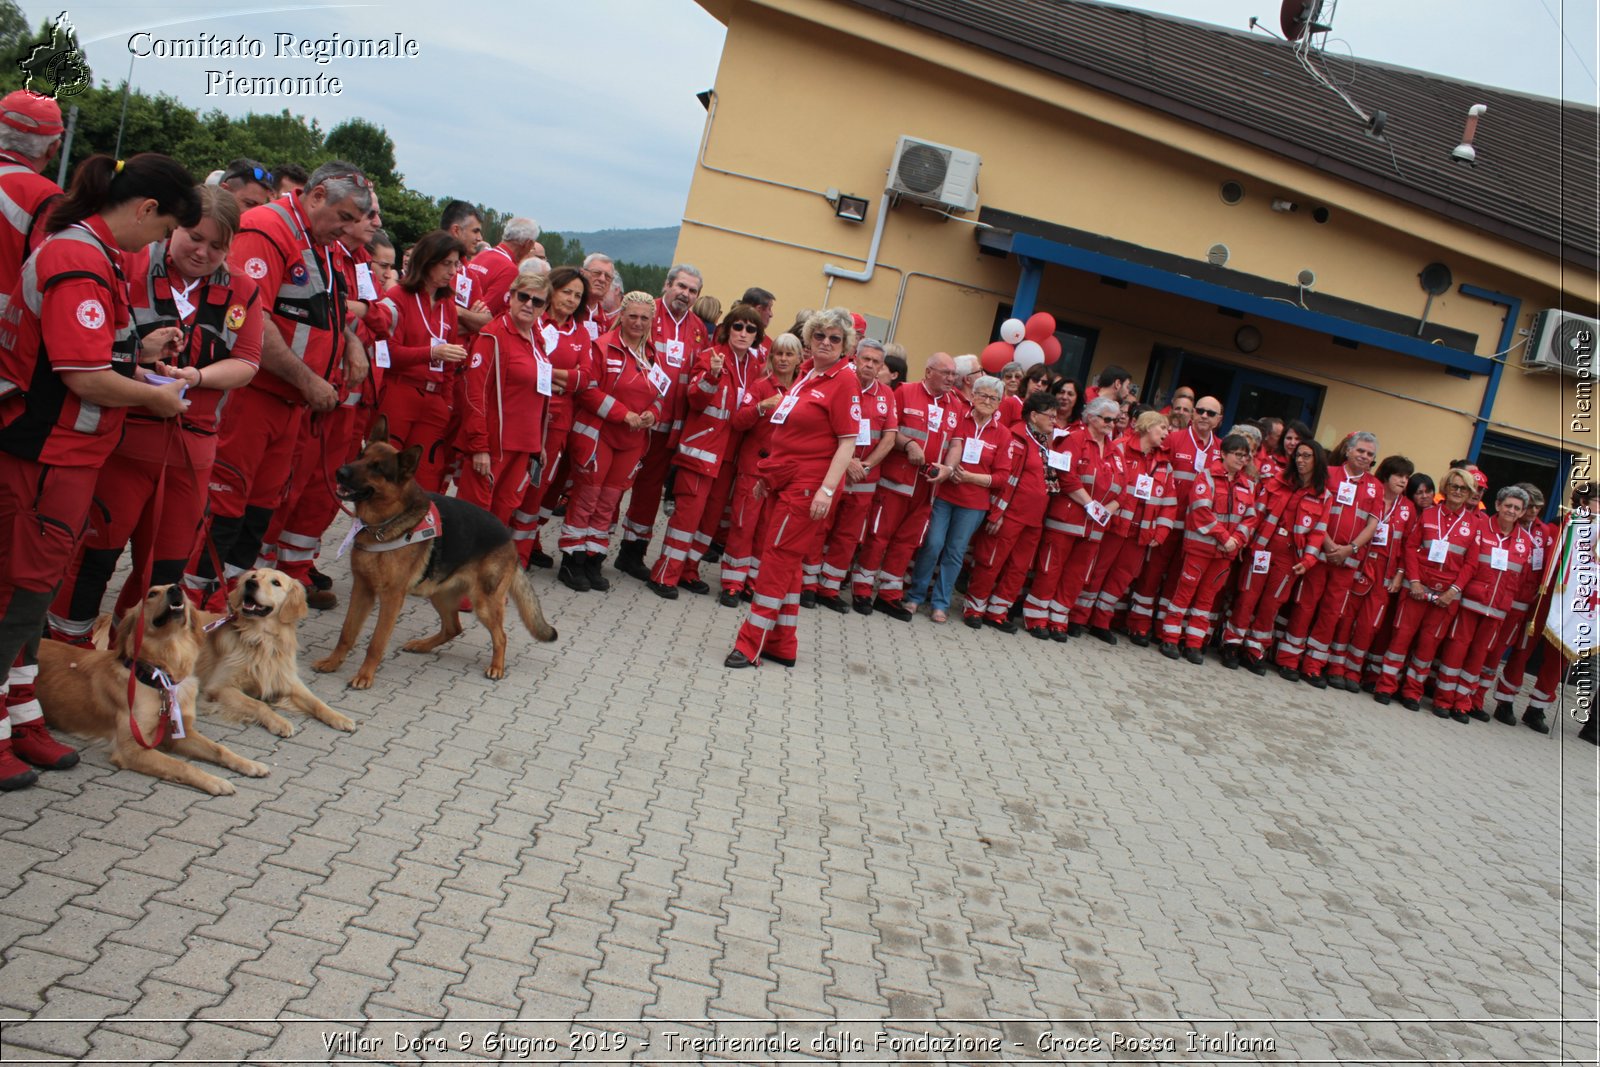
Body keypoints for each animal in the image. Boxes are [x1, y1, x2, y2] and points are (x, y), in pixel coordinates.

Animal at [34, 585, 270, 793]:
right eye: (152, 593)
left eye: (181, 590)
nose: (176, 589)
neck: (161, 680)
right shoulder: (132, 748)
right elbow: (181, 765)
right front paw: (215, 781)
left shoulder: (179, 732)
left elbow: (220, 748)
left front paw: (249, 764)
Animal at [198, 572, 355, 739]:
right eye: (253, 576)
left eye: (276, 583)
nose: (250, 583)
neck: (263, 640)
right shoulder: (220, 687)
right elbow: (259, 704)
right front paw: (280, 722)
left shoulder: (288, 682)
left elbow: (317, 702)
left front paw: (339, 718)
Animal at [310, 412, 556, 687]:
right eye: (360, 455)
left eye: (376, 467)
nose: (339, 472)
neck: (383, 524)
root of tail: (508, 536)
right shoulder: (362, 589)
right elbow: (346, 632)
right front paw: (332, 663)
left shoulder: (391, 598)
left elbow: (376, 642)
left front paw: (364, 676)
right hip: (439, 593)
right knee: (454, 628)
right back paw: (422, 645)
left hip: (484, 603)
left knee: (500, 636)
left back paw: (496, 667)